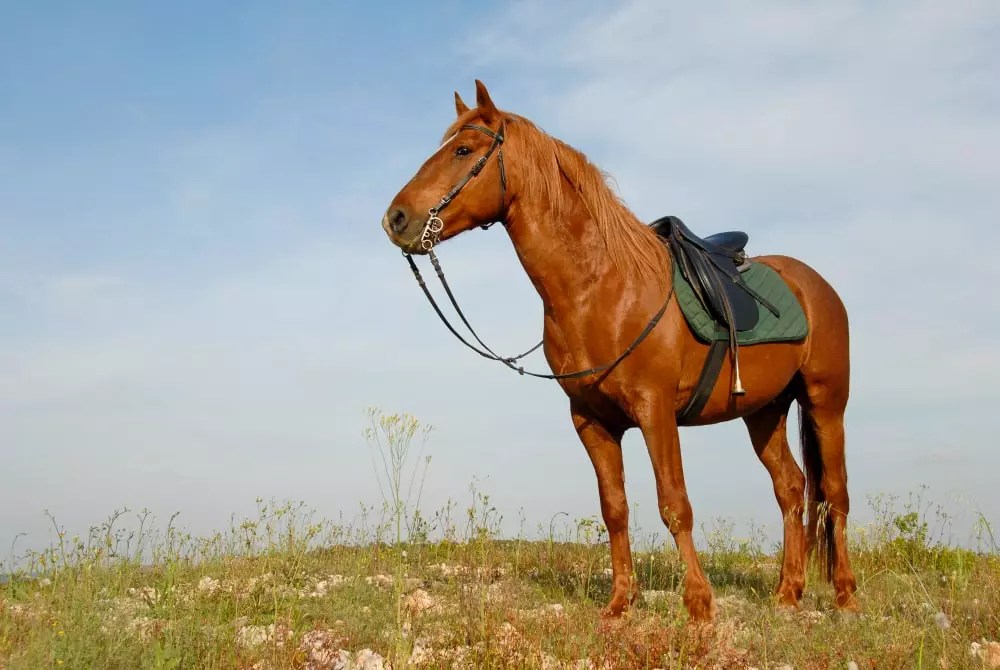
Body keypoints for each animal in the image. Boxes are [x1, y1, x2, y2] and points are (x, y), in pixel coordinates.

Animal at [380, 80, 858, 623]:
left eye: (462, 150)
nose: (396, 219)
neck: (600, 287)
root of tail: (815, 285)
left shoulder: (655, 412)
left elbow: (674, 505)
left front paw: (699, 604)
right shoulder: (592, 421)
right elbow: (615, 509)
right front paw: (619, 603)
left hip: (826, 403)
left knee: (836, 494)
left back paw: (845, 595)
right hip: (764, 412)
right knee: (791, 489)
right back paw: (787, 593)